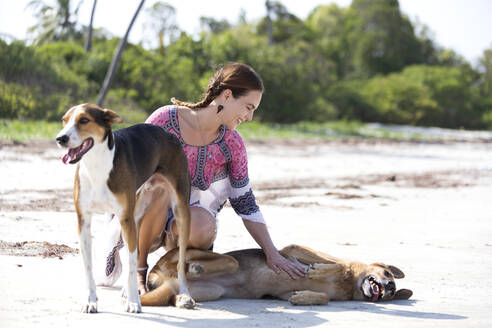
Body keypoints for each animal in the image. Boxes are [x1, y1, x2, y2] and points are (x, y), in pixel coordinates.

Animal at [56, 102, 194, 312]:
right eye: (64, 120)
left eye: (84, 120)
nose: (60, 138)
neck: (97, 165)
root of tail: (166, 133)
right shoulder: (84, 221)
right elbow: (89, 268)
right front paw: (91, 301)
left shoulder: (125, 219)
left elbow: (131, 261)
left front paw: (133, 302)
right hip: (138, 211)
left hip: (180, 211)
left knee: (179, 262)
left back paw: (184, 292)